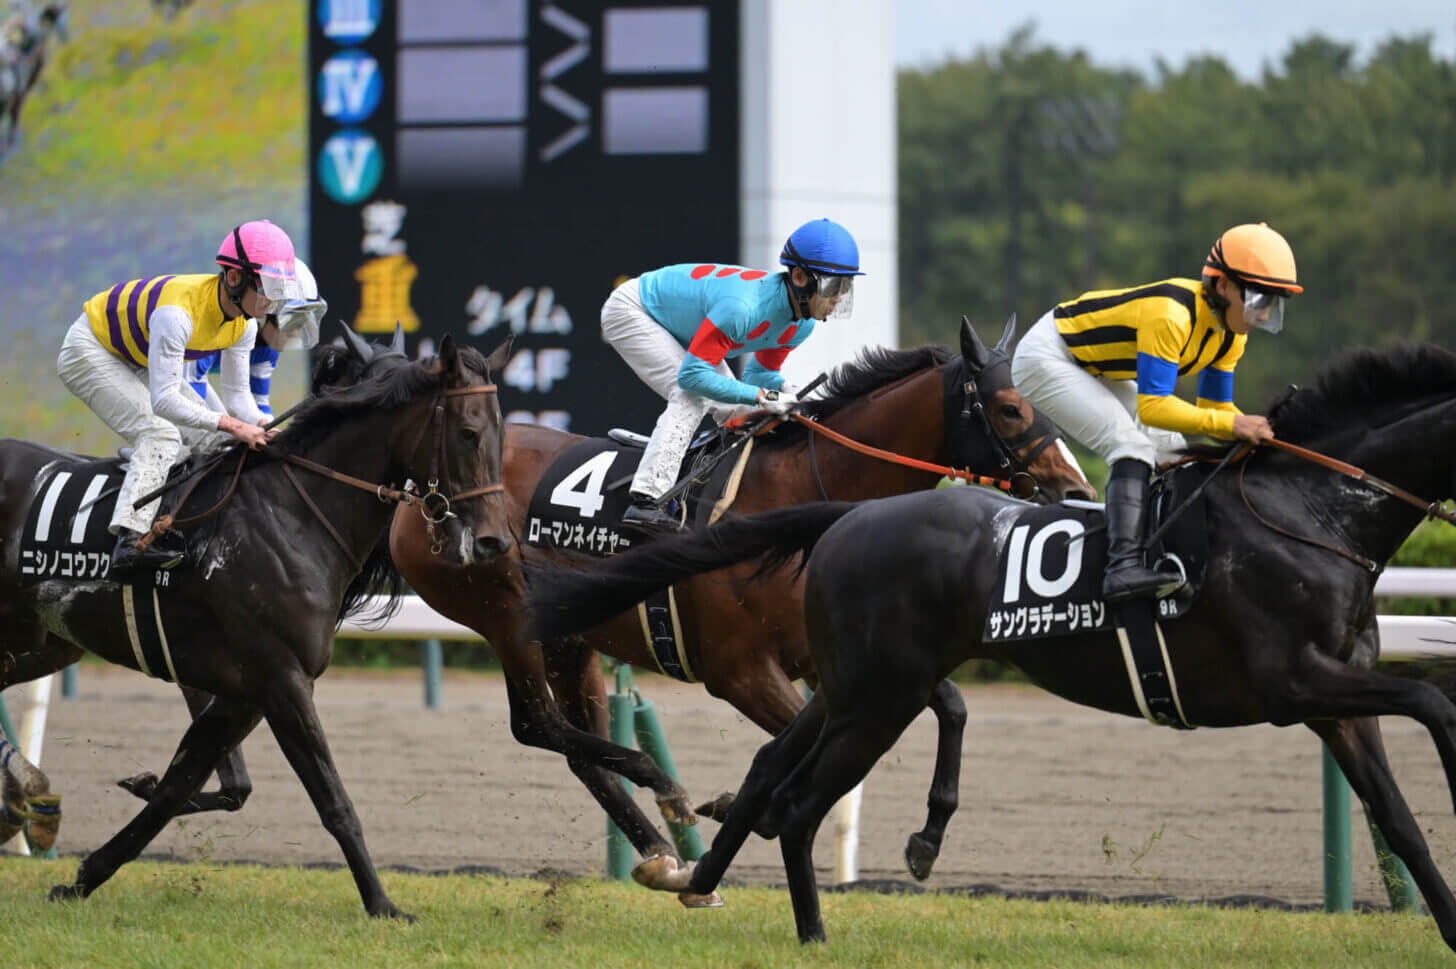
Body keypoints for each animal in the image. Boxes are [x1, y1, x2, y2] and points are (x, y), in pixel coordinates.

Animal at [0, 336, 512, 919]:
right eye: (468, 432)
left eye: (502, 433)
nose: (495, 541)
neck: (290, 515)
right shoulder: (281, 680)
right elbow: (334, 801)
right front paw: (383, 904)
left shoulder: (244, 693)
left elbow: (181, 787)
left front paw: (84, 875)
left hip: (40, 644)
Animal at [529, 343, 1456, 948]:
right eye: (1008, 409)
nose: (1071, 485)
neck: (1309, 508)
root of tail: (848, 514)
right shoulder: (1292, 681)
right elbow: (1432, 698)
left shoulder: (1335, 699)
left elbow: (1402, 823)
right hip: (872, 696)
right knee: (783, 798)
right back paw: (785, 915)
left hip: (854, 686)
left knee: (763, 774)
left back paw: (701, 873)